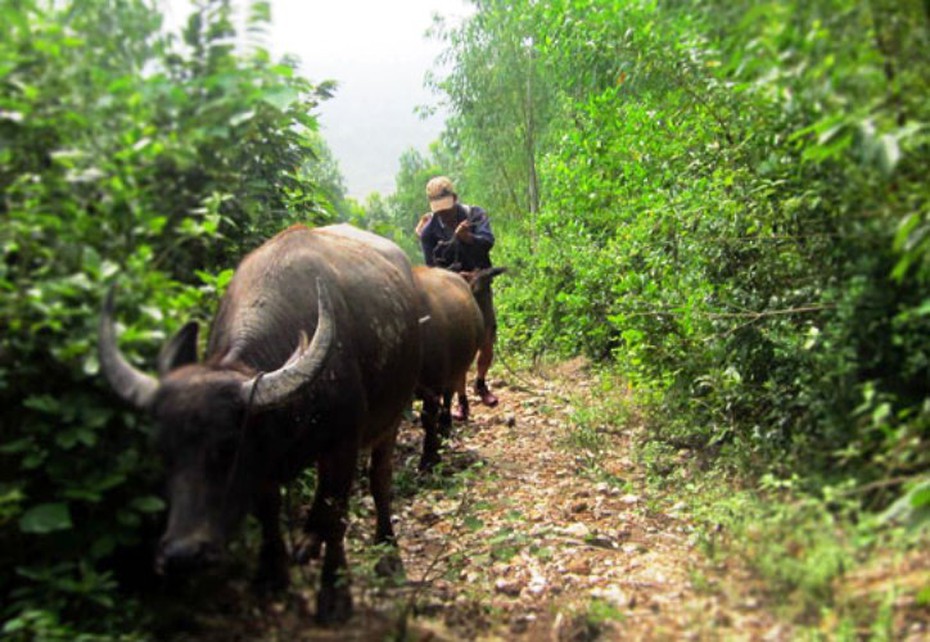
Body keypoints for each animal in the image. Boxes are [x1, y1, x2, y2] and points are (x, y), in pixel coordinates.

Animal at [99, 224, 418, 620]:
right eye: (161, 452)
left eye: (227, 446)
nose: (183, 555)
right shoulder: (263, 464)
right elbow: (268, 510)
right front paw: (271, 575)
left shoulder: (343, 443)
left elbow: (336, 513)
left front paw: (334, 593)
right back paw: (307, 540)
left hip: (389, 421)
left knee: (380, 480)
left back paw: (387, 550)